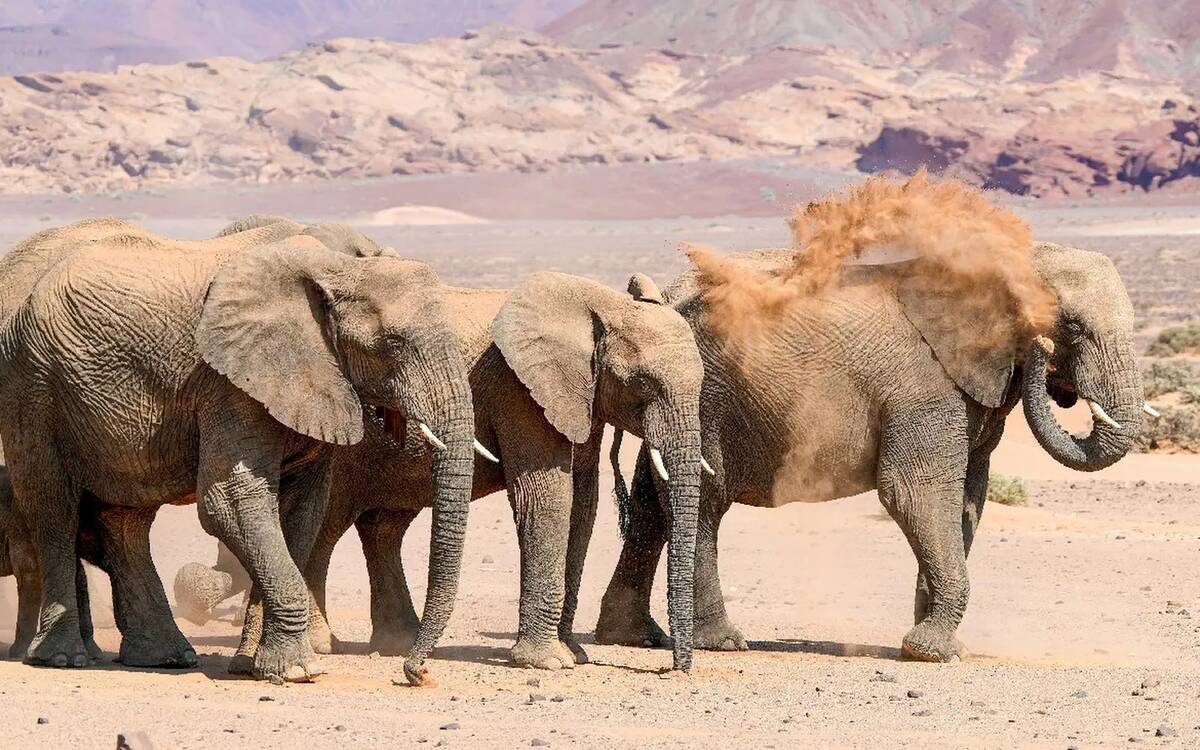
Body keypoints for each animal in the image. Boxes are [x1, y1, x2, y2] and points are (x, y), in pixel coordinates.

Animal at [0, 219, 476, 683]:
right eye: (392, 344)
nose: (414, 673)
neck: (339, 269)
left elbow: (302, 512)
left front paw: (254, 665)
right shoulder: (228, 383)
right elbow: (229, 502)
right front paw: (298, 671)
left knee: (126, 520)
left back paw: (165, 658)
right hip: (33, 389)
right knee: (54, 510)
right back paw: (63, 658)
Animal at [177, 271, 707, 672]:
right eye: (644, 385)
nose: (673, 668)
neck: (600, 304)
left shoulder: (582, 400)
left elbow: (583, 503)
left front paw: (572, 655)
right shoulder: (519, 389)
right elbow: (545, 495)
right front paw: (547, 662)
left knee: (379, 526)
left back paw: (391, 644)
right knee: (328, 526)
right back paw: (325, 647)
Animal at [595, 241, 1145, 662]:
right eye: (1072, 327)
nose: (1041, 351)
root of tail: (667, 292)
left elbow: (968, 500)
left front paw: (932, 644)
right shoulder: (925, 388)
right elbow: (914, 493)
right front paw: (932, 653)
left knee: (653, 499)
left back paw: (634, 638)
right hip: (707, 396)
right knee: (704, 504)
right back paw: (723, 643)